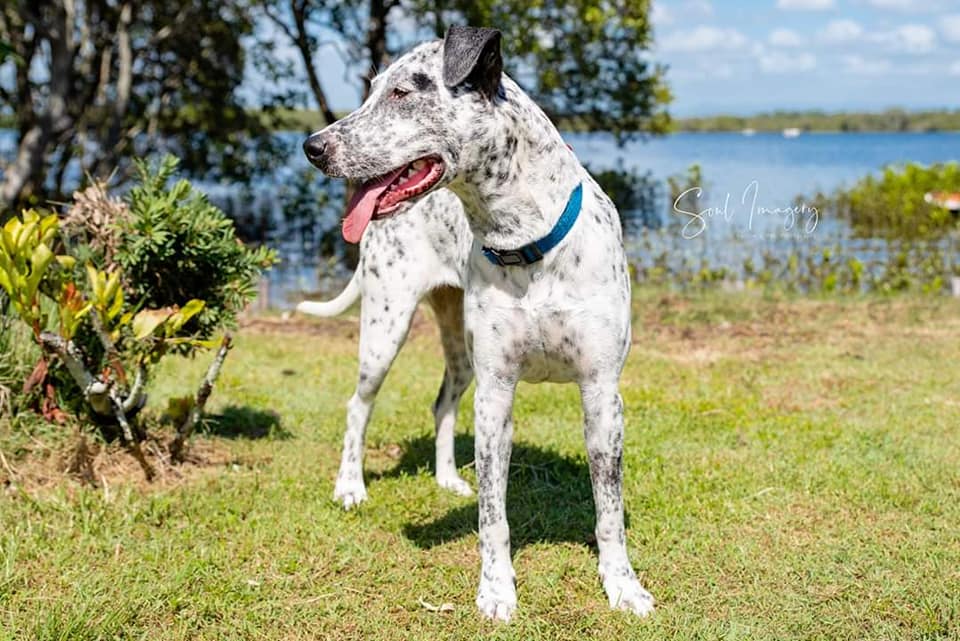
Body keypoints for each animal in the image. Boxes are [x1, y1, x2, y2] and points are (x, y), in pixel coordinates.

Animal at [297, 191, 474, 507]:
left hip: (463, 355)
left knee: (444, 406)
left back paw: (447, 479)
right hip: (384, 335)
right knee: (358, 408)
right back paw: (350, 487)